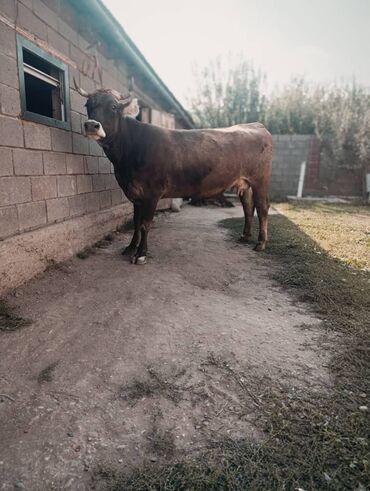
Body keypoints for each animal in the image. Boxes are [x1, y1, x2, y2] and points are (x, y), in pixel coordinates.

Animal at [74, 81, 272, 266]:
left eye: (114, 107)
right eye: (87, 105)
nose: (91, 125)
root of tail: (255, 125)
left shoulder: (152, 193)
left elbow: (145, 224)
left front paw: (141, 254)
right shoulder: (135, 193)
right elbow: (136, 222)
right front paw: (130, 247)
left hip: (260, 180)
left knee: (262, 207)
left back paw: (260, 243)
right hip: (245, 182)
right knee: (248, 206)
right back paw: (245, 236)